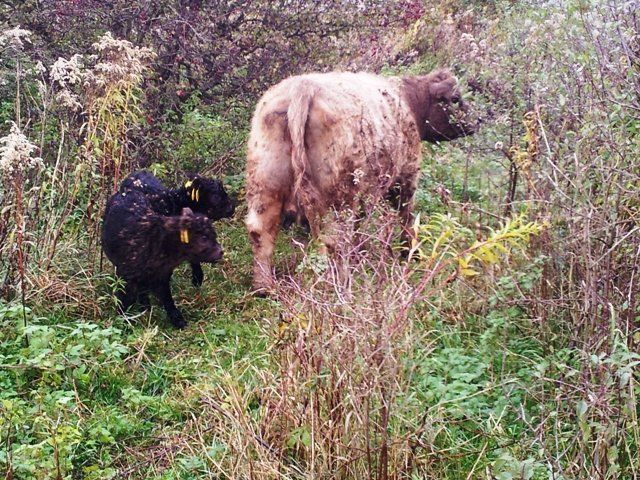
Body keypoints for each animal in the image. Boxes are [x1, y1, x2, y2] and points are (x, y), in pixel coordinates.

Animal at [248, 69, 478, 290]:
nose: (476, 122)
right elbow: (405, 217)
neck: (408, 101)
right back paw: (340, 283)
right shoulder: (405, 176)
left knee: (260, 232)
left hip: (265, 183)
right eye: (455, 98)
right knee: (334, 240)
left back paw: (264, 287)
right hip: (339, 199)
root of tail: (303, 86)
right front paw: (409, 253)